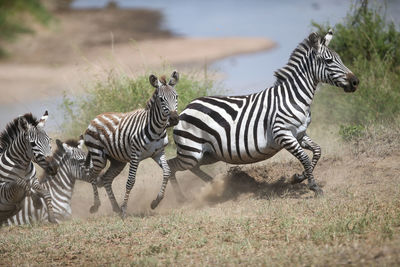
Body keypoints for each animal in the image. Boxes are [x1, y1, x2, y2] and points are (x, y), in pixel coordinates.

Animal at [84, 70, 180, 218]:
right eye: (161, 99)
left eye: (176, 97)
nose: (174, 119)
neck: (157, 130)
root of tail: (96, 117)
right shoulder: (135, 155)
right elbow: (130, 182)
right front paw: (125, 210)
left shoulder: (158, 153)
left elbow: (167, 172)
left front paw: (156, 202)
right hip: (99, 157)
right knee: (92, 175)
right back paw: (96, 206)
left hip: (118, 161)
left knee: (106, 179)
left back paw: (115, 207)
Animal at [159, 29, 360, 207]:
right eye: (328, 60)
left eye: (340, 59)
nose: (355, 82)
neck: (293, 97)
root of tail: (186, 108)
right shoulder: (283, 134)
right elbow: (304, 157)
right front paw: (314, 186)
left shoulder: (300, 134)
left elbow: (317, 152)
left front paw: (299, 177)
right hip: (191, 152)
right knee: (171, 165)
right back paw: (181, 198)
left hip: (208, 153)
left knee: (189, 167)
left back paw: (216, 184)